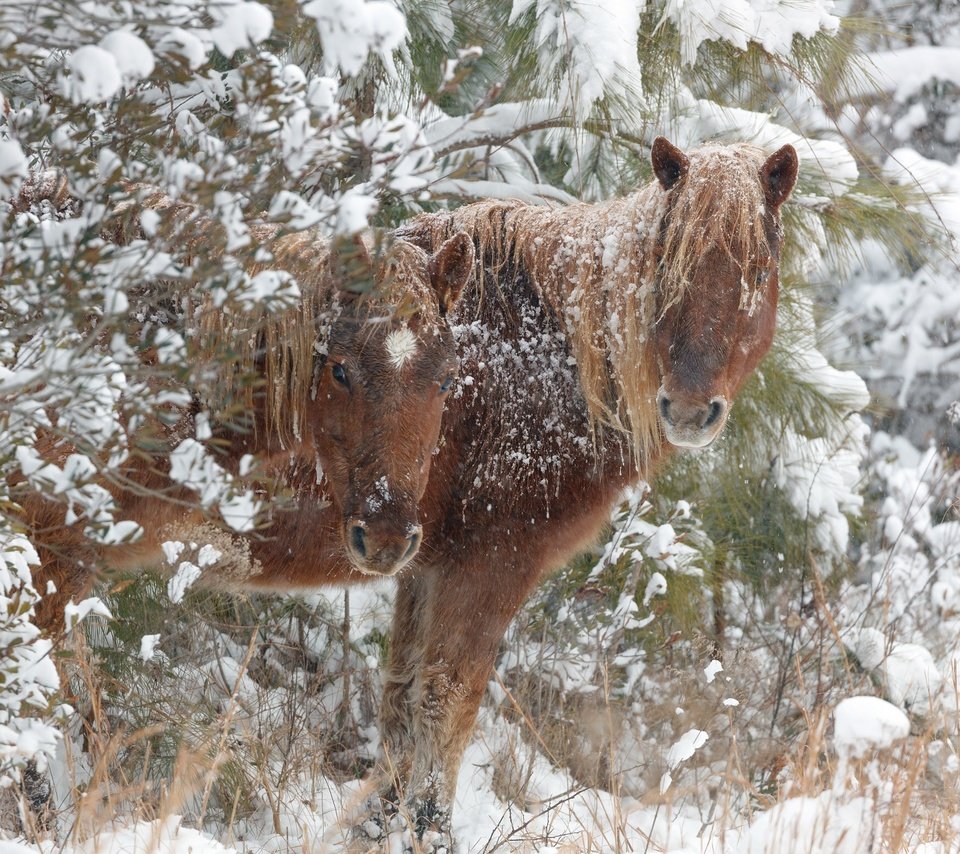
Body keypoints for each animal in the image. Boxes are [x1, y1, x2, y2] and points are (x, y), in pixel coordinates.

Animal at [354, 135, 796, 848]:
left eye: (756, 272)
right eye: (666, 270)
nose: (689, 409)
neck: (546, 363)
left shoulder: (423, 563)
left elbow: (401, 690)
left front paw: (382, 821)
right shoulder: (489, 563)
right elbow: (448, 697)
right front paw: (430, 827)